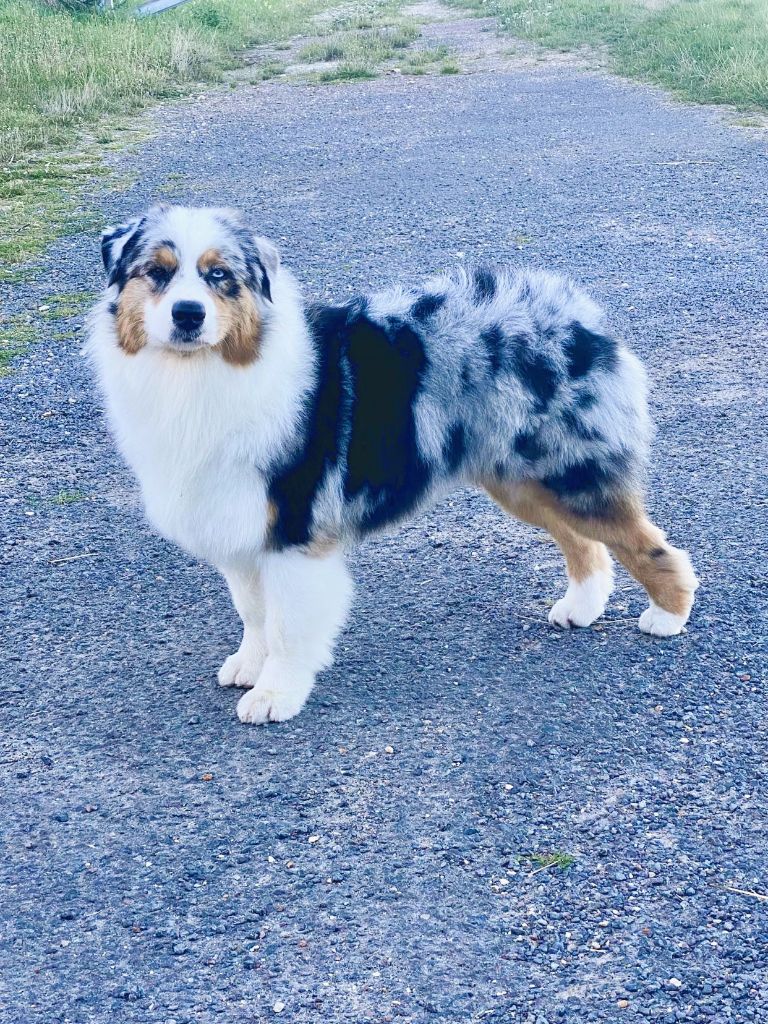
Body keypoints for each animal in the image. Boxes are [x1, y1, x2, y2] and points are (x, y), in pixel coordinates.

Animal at [87, 203, 700, 724]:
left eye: (219, 276)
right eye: (156, 273)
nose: (188, 315)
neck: (204, 373)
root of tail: (576, 313)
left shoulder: (295, 530)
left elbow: (287, 626)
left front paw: (275, 694)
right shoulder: (240, 521)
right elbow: (254, 611)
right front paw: (249, 665)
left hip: (570, 470)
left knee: (646, 544)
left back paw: (669, 616)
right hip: (522, 477)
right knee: (585, 544)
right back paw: (581, 607)